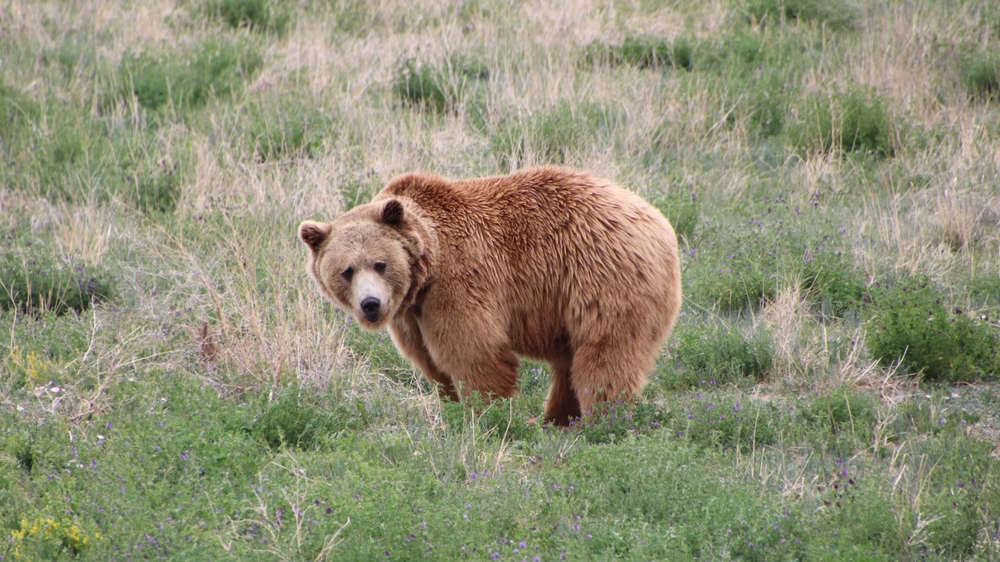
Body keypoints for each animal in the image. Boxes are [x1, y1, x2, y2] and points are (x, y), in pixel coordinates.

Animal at [299, 167, 682, 426]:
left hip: (603, 277)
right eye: (347, 270)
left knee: (604, 355)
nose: (371, 304)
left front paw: (484, 415)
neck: (426, 268)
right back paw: (555, 420)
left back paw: (599, 421)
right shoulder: (411, 315)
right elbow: (431, 363)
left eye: (380, 264)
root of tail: (658, 220)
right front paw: (450, 405)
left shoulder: (461, 280)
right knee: (570, 365)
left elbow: (474, 351)